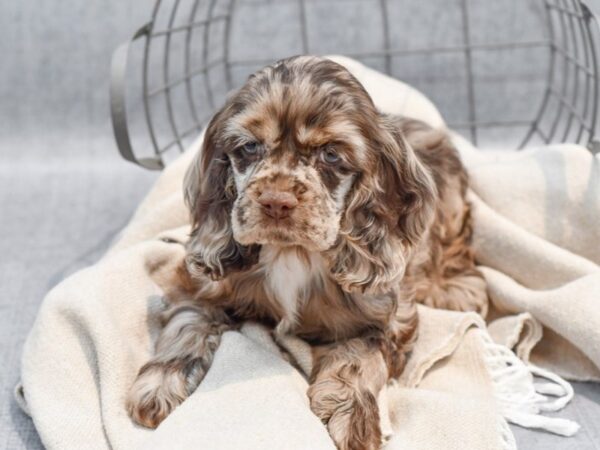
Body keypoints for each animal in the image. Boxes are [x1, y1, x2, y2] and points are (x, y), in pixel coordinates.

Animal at [127, 56, 488, 450]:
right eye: (250, 147)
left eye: (330, 154)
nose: (276, 202)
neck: (292, 253)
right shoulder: (200, 285)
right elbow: (186, 323)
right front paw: (160, 382)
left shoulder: (386, 316)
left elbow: (358, 357)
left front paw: (352, 416)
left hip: (449, 202)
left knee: (456, 245)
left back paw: (455, 287)